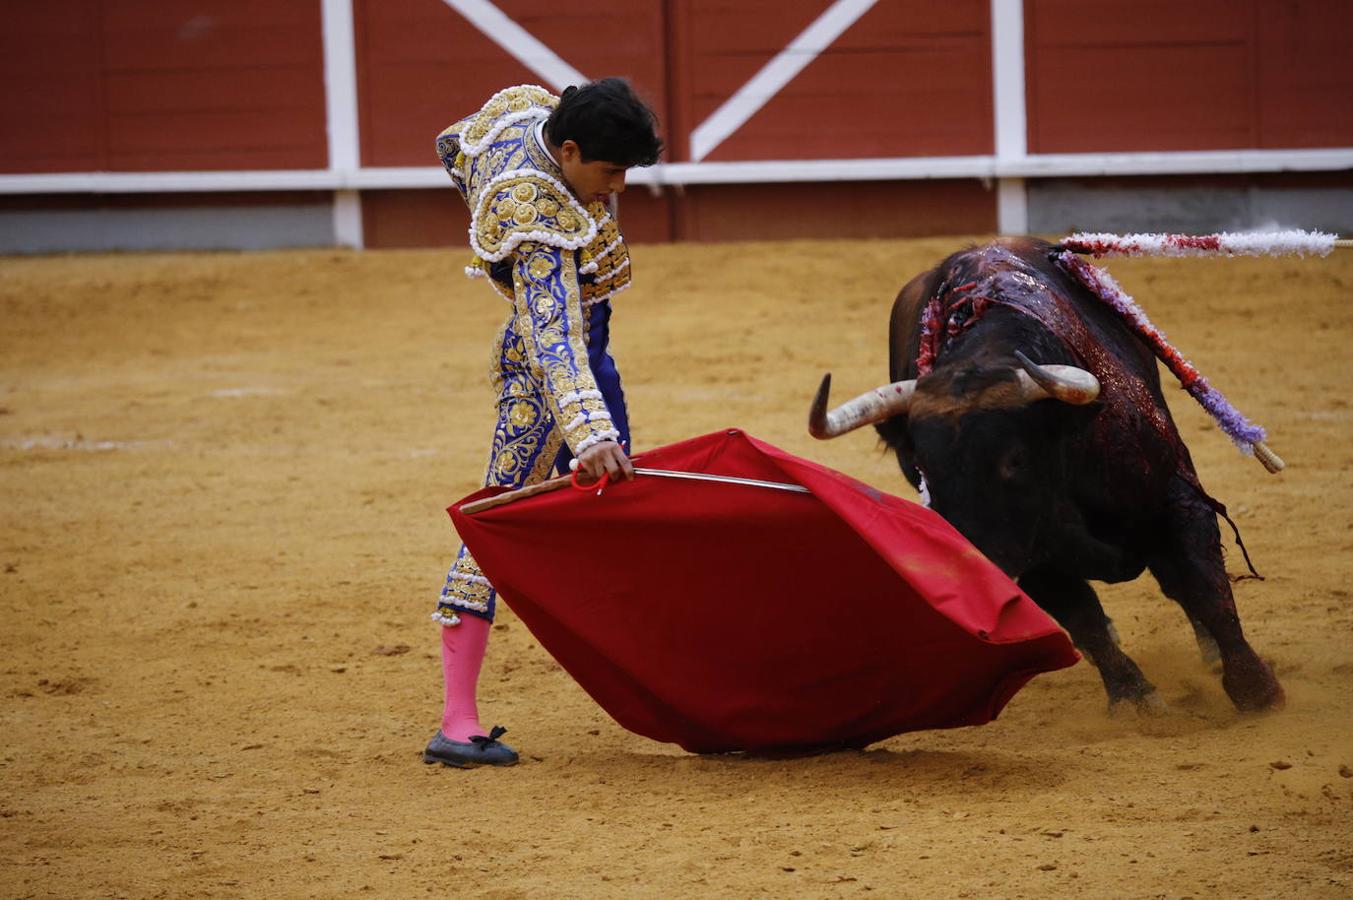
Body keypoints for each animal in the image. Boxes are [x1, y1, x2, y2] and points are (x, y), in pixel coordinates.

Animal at [806, 235, 1282, 714]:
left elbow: (1204, 585)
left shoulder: (1174, 495)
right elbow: (1084, 619)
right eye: (925, 467)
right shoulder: (1029, 556)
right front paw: (1135, 699)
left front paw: (1255, 688)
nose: (977, 566)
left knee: (1179, 581)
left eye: (1015, 460)